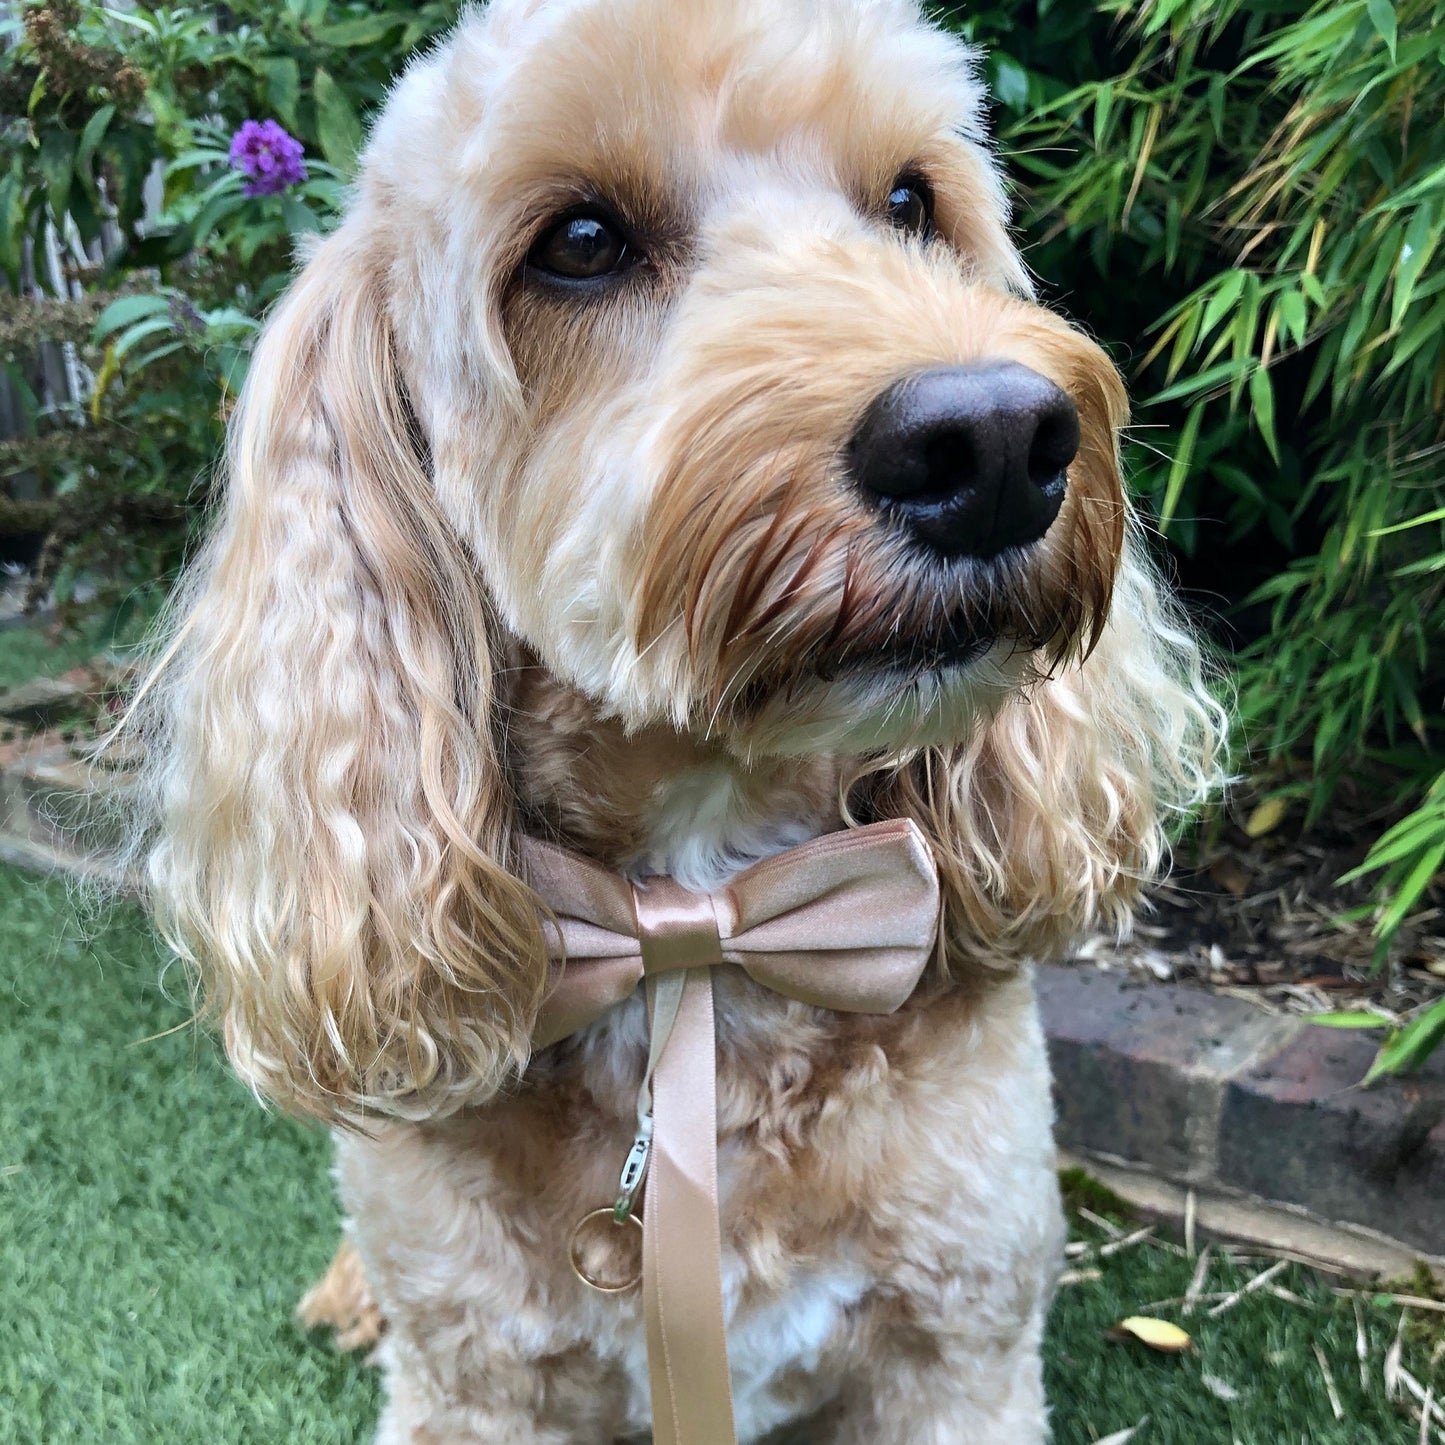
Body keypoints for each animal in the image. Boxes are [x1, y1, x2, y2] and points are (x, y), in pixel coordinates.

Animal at [130, 0, 1225, 1439]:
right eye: (580, 243)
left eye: (908, 202)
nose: (993, 441)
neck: (701, 918)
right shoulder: (475, 1388)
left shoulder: (959, 1358)